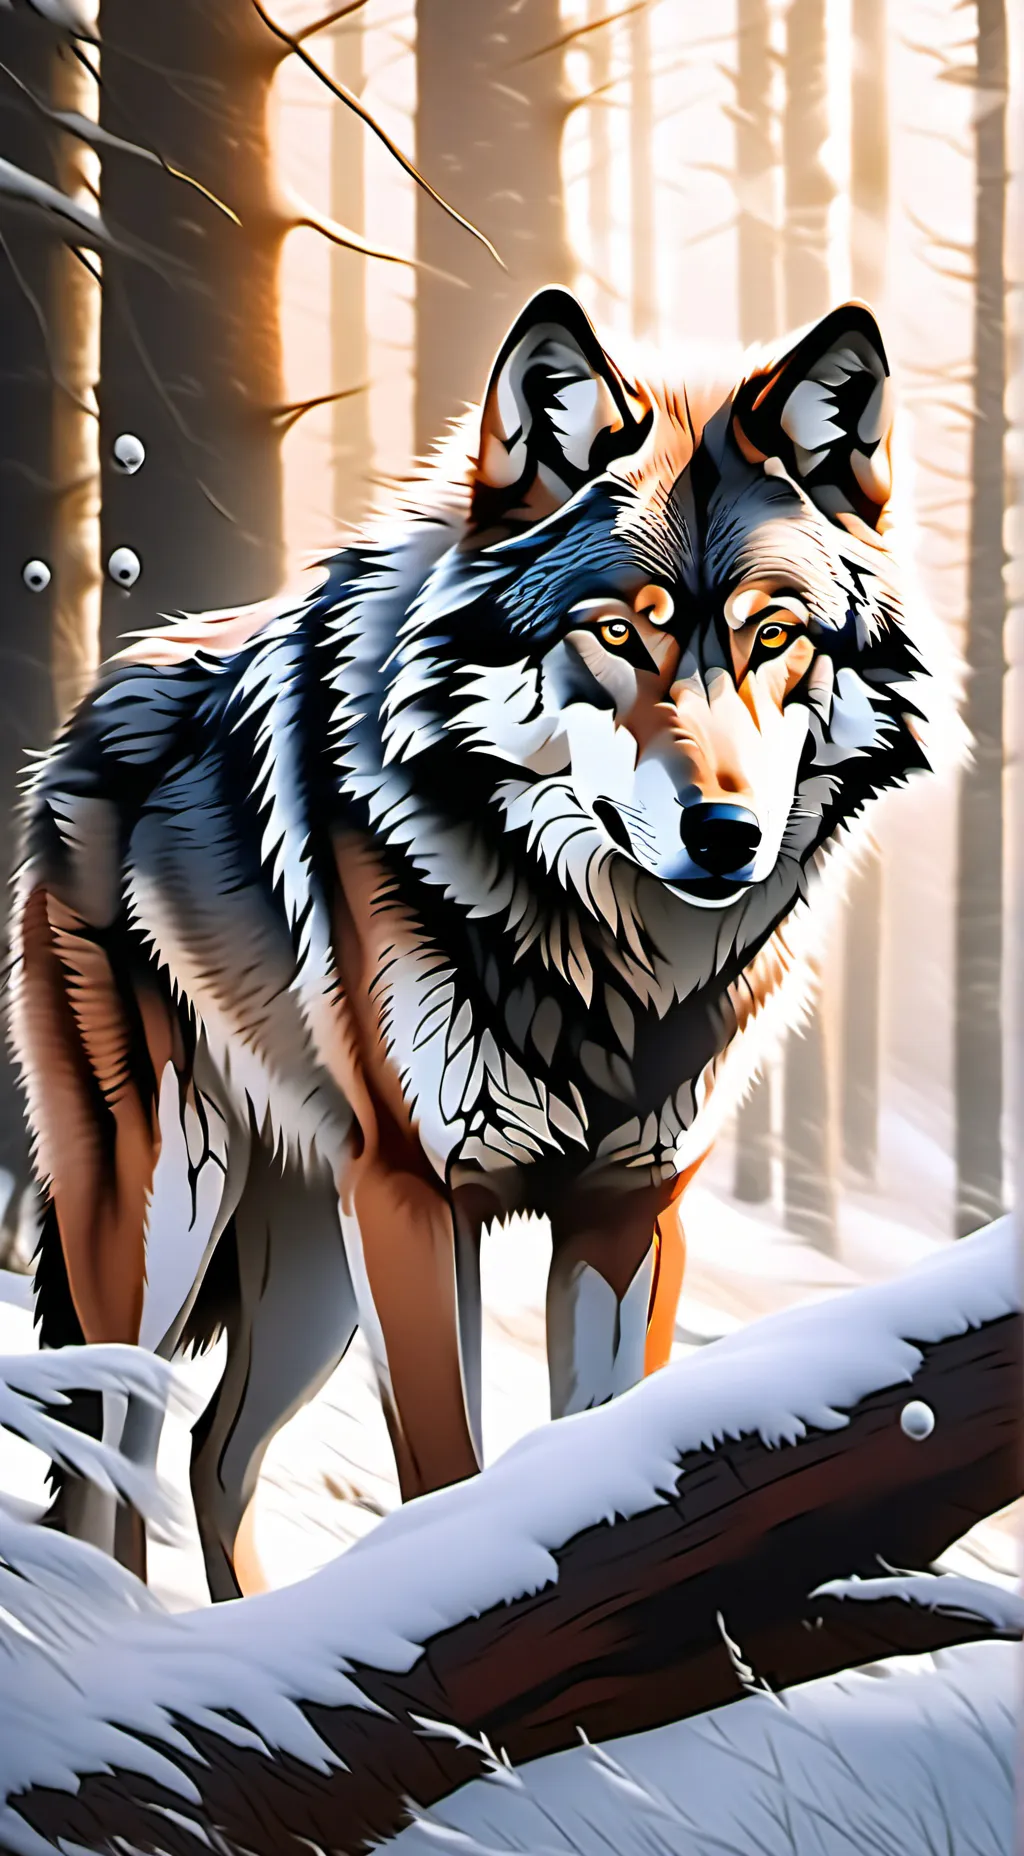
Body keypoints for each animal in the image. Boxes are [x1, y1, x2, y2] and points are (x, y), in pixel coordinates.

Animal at [10, 288, 943, 1599]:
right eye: (618, 634)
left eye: (775, 637)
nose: (725, 834)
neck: (608, 958)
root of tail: (91, 703)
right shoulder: (413, 1196)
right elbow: (447, 1477)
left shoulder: (630, 1206)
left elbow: (599, 1457)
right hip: (166, 1215)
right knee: (112, 1466)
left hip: (307, 1249)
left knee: (211, 1450)